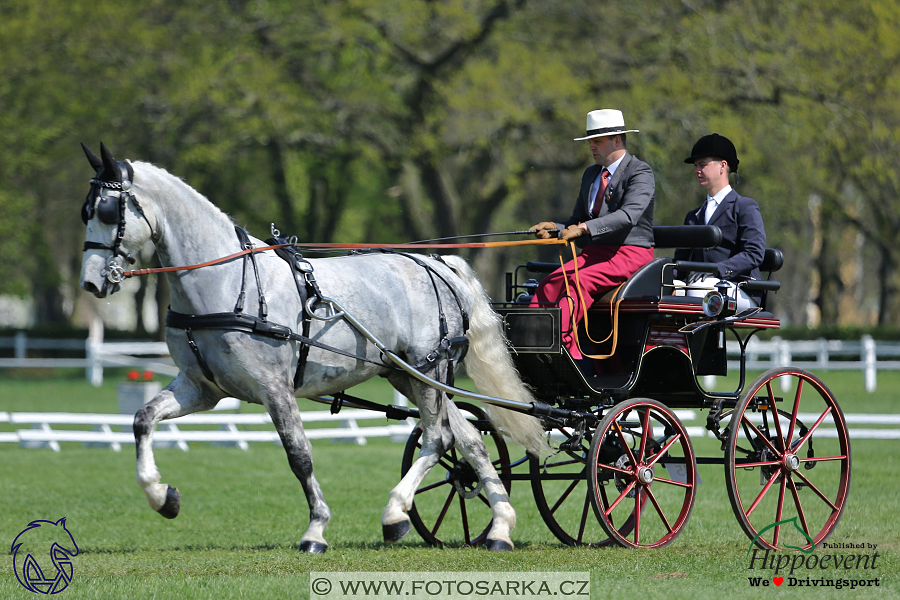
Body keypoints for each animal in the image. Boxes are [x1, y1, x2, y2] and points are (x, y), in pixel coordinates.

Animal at [79, 145, 540, 552]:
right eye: (86, 212)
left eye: (108, 212)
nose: (92, 282)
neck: (226, 284)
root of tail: (437, 264)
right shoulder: (201, 389)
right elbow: (142, 420)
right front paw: (163, 497)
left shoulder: (274, 388)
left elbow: (299, 456)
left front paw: (315, 530)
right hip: (410, 376)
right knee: (468, 440)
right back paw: (500, 527)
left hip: (429, 372)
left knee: (438, 436)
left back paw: (395, 514)